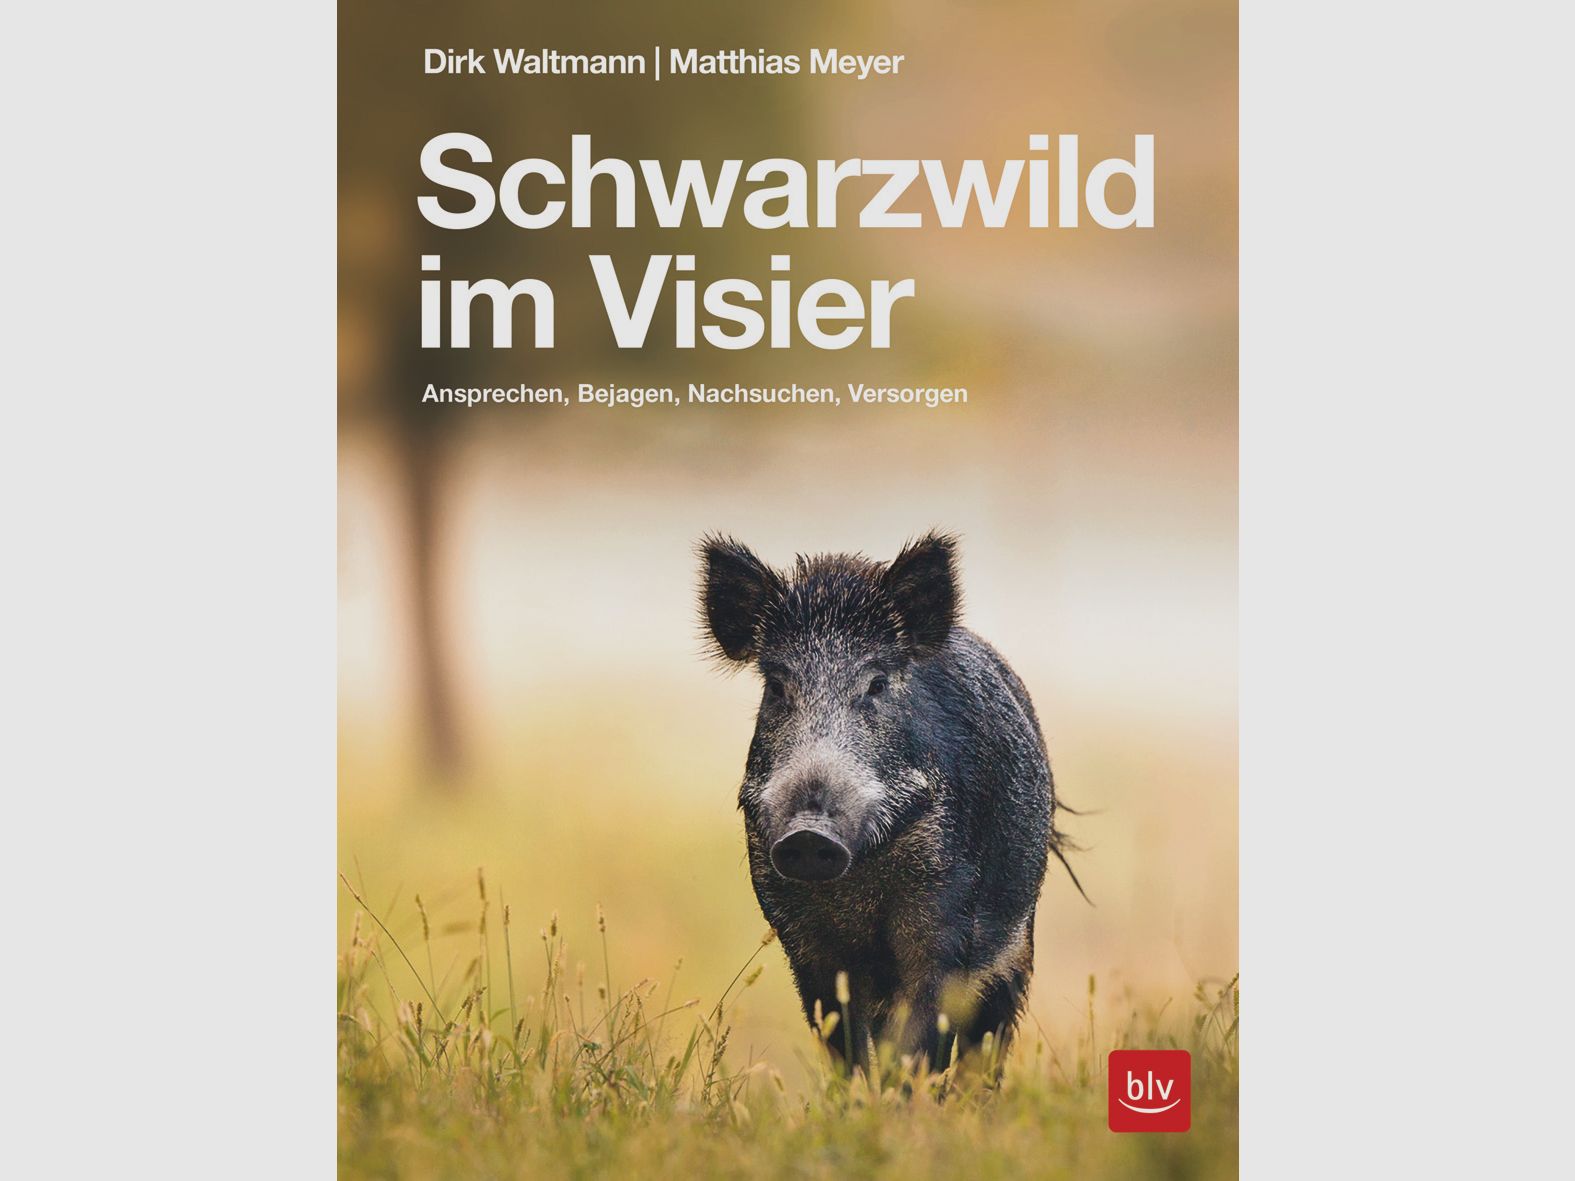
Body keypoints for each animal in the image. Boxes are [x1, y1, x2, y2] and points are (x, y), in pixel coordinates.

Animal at [698, 531, 1078, 1073]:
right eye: (776, 687)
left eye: (876, 684)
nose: (809, 833)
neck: (859, 878)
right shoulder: (800, 936)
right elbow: (844, 1042)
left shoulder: (946, 915)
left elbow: (921, 1041)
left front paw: (908, 1091)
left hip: (1016, 948)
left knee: (987, 1044)